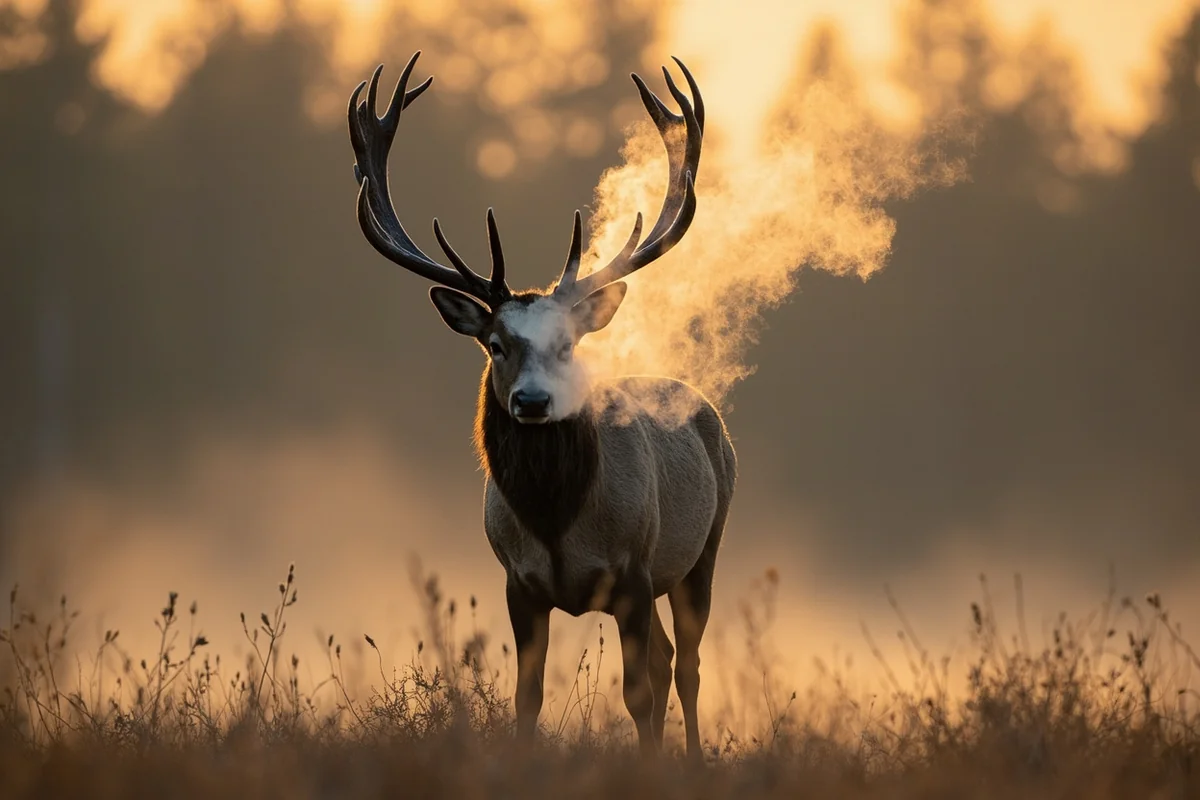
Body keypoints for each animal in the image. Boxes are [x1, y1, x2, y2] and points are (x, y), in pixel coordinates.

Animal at [347, 51, 736, 762]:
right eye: (496, 343)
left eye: (567, 343)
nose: (532, 401)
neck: (558, 523)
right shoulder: (517, 583)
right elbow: (525, 698)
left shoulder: (632, 570)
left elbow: (638, 695)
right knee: (670, 658)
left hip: (704, 547)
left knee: (687, 664)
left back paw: (693, 761)